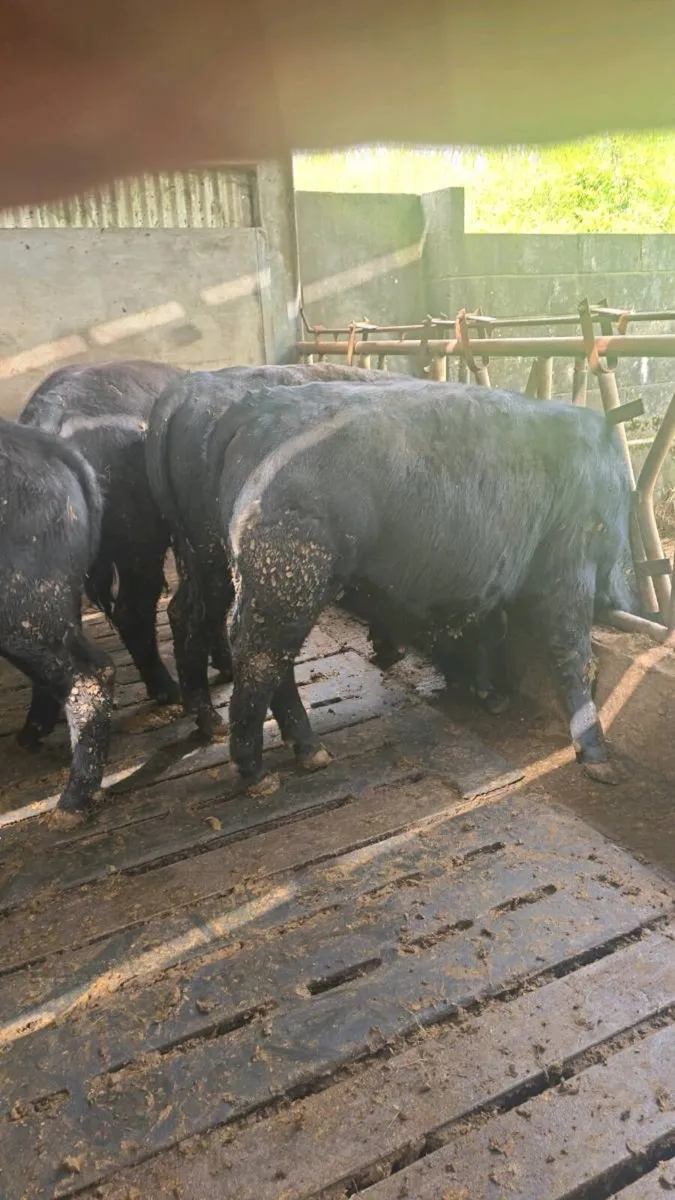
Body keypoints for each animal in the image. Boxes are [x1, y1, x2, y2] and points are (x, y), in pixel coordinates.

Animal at [145, 363, 512, 739]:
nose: (495, 696)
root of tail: (185, 392)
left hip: (194, 554)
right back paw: (214, 718)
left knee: (183, 610)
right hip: (217, 560)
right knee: (210, 623)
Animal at [214, 380, 635, 793]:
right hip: (289, 581)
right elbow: (574, 655)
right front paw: (599, 760)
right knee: (258, 658)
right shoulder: (570, 565)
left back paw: (310, 750)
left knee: (275, 660)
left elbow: (494, 629)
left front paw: (491, 694)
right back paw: (258, 772)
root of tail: (256, 421)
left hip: (275, 589)